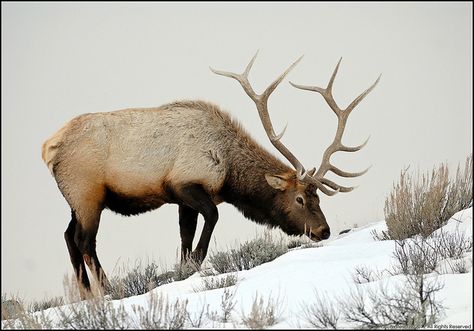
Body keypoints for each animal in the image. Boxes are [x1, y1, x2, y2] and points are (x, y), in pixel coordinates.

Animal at [42, 53, 380, 298]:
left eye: (318, 196)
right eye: (299, 198)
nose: (324, 230)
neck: (229, 174)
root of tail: (48, 149)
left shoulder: (181, 199)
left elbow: (184, 236)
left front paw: (182, 268)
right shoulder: (186, 184)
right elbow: (211, 219)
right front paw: (195, 265)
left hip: (76, 201)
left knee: (68, 236)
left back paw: (86, 295)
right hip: (88, 194)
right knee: (85, 240)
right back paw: (106, 290)